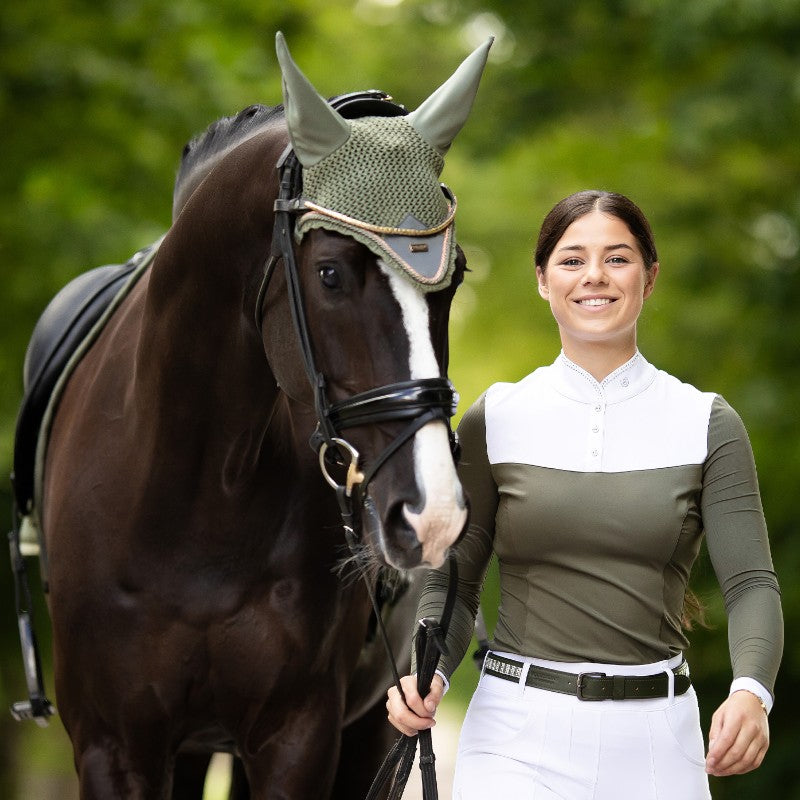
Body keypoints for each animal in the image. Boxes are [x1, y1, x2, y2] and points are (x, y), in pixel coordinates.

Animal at [11, 33, 491, 799]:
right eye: (330, 273)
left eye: (457, 276)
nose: (433, 514)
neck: (197, 493)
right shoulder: (113, 743)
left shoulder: (298, 737)